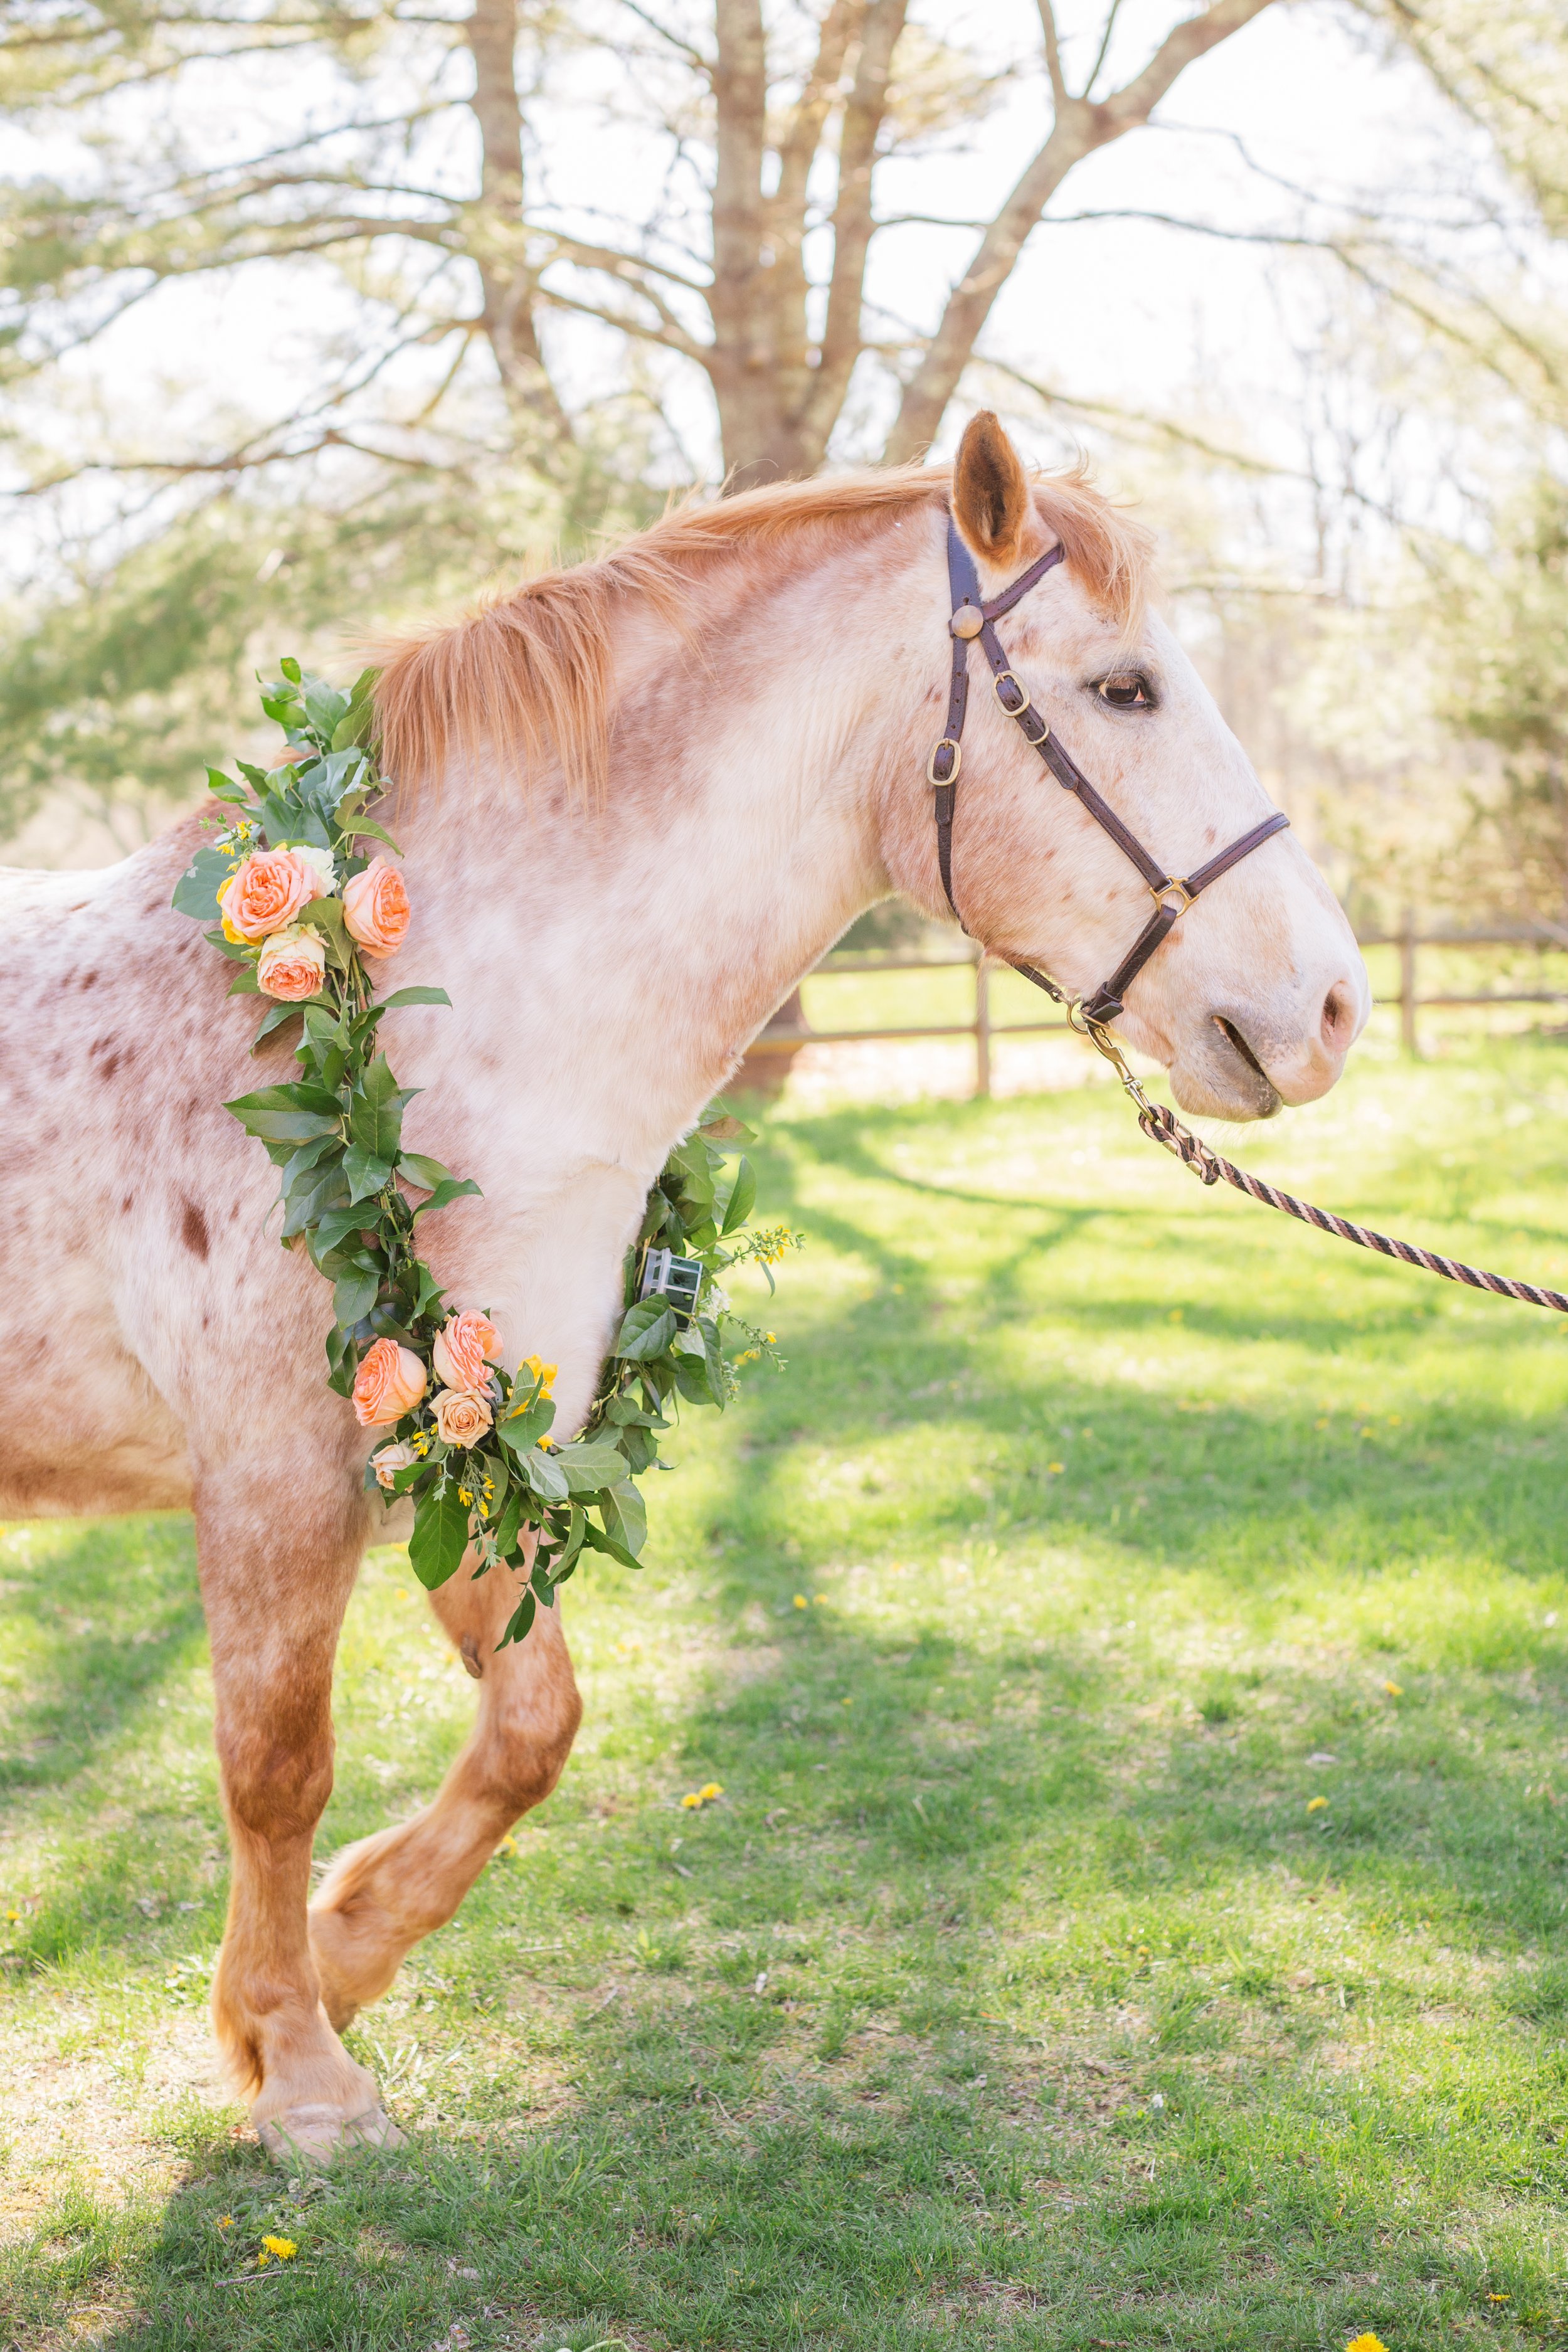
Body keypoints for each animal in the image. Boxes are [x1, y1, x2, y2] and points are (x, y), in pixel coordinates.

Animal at [0, 405, 1363, 2154]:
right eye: (1124, 687)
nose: (1329, 1005)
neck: (415, 1023)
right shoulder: (275, 1479)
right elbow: (274, 1764)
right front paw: (301, 2070)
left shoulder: (467, 1438)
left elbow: (531, 1728)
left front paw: (342, 1953)